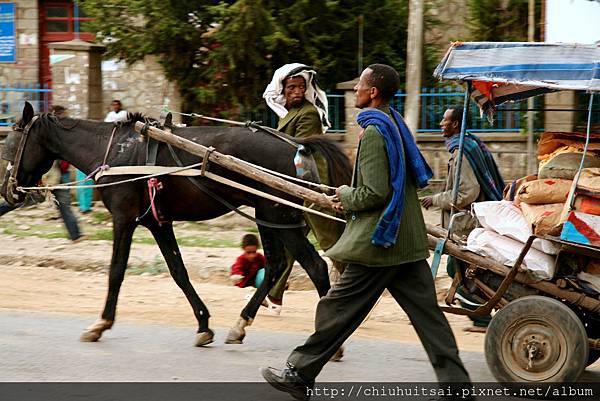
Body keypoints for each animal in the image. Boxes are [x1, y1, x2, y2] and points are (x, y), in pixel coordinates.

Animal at [2, 102, 350, 344]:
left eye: (11, 144)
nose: (9, 191)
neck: (113, 152)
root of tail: (297, 145)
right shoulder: (158, 223)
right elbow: (178, 272)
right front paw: (203, 324)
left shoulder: (124, 218)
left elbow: (116, 272)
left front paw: (100, 324)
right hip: (268, 216)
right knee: (277, 264)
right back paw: (240, 325)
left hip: (278, 215)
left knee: (315, 266)